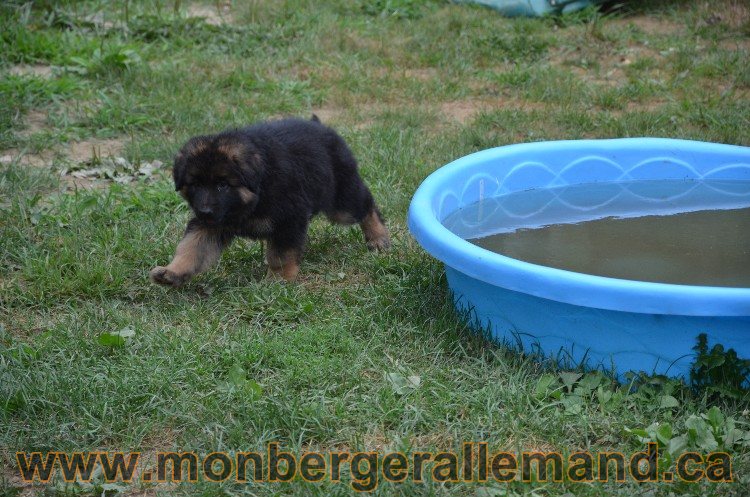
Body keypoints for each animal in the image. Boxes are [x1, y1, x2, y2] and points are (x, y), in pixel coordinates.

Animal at [150, 115, 390, 284]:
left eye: (222, 185)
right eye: (195, 185)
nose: (204, 211)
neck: (256, 192)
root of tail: (321, 127)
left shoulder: (288, 220)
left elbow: (280, 255)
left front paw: (279, 280)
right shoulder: (210, 225)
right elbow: (191, 248)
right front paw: (172, 272)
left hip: (340, 201)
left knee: (366, 205)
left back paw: (378, 238)